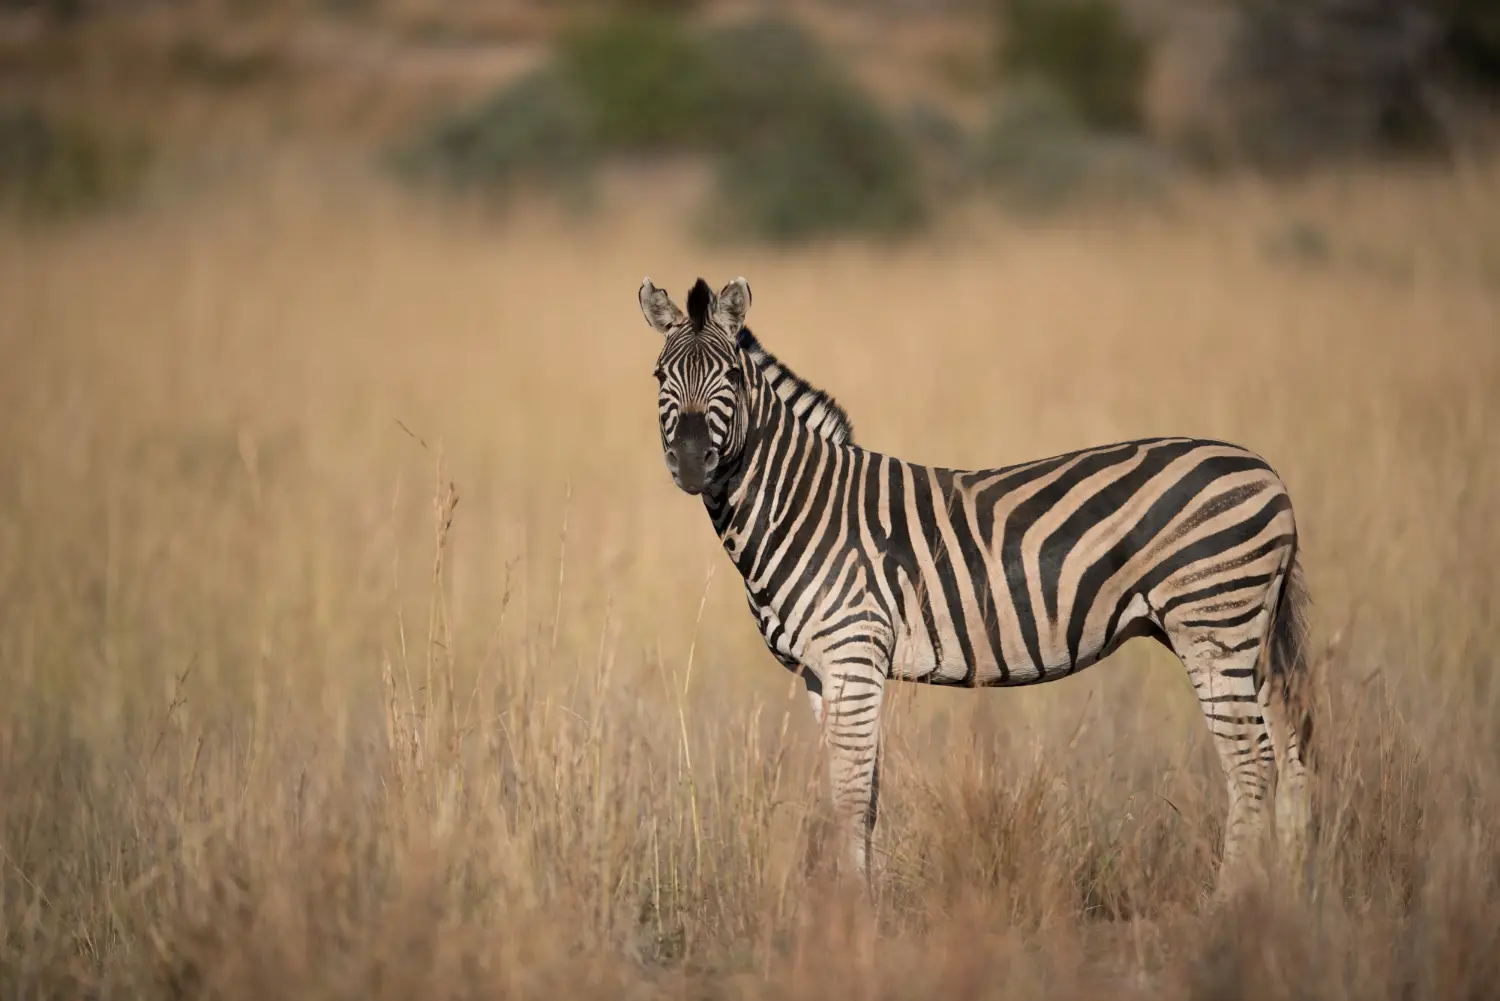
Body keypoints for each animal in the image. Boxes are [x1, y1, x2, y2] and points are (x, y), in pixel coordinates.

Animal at [639, 274, 1320, 894]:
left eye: (731, 375)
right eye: (659, 377)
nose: (693, 461)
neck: (800, 503)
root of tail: (1272, 476)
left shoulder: (853, 652)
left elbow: (852, 796)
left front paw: (854, 915)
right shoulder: (820, 670)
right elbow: (859, 795)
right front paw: (855, 906)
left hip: (1211, 624)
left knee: (1252, 765)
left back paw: (1229, 908)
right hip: (1249, 637)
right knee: (1289, 752)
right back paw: (1285, 902)